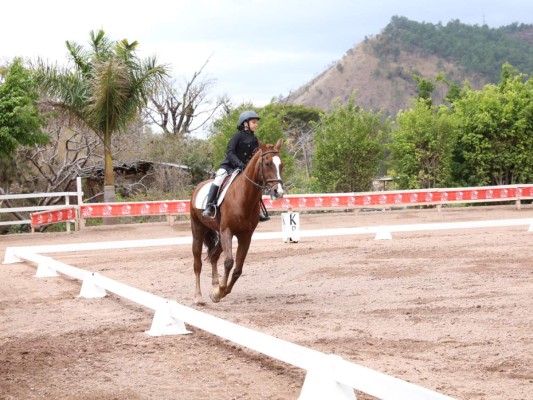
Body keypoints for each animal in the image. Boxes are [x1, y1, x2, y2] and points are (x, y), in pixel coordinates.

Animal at [190, 139, 282, 304]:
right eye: (267, 163)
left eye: (281, 164)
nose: (278, 192)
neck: (244, 196)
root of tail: (198, 186)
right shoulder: (227, 231)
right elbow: (229, 262)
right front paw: (219, 292)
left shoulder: (245, 236)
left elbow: (238, 269)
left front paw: (219, 291)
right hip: (198, 231)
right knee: (197, 264)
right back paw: (198, 297)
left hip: (220, 235)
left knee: (213, 256)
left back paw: (214, 285)